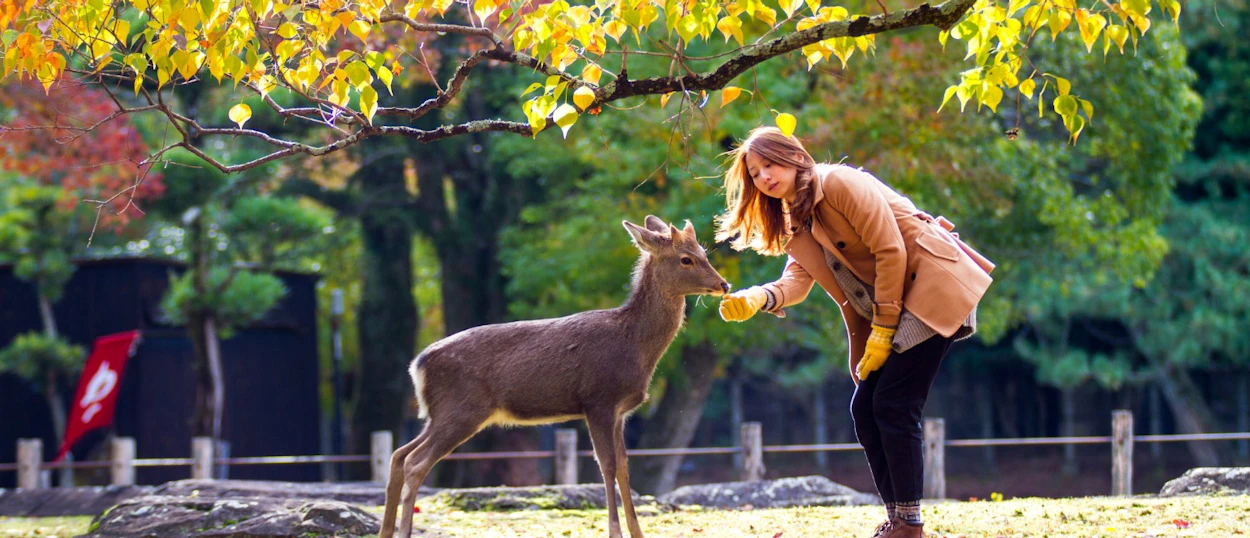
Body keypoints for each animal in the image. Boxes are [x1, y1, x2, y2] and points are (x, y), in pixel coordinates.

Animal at [378, 215, 731, 538]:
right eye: (685, 258)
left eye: (704, 251)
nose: (724, 284)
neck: (635, 345)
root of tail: (418, 365)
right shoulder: (598, 400)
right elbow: (607, 466)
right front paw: (615, 532)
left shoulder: (620, 411)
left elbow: (624, 467)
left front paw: (637, 533)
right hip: (462, 409)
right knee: (415, 462)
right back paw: (404, 530)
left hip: (440, 414)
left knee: (398, 455)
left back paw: (385, 531)